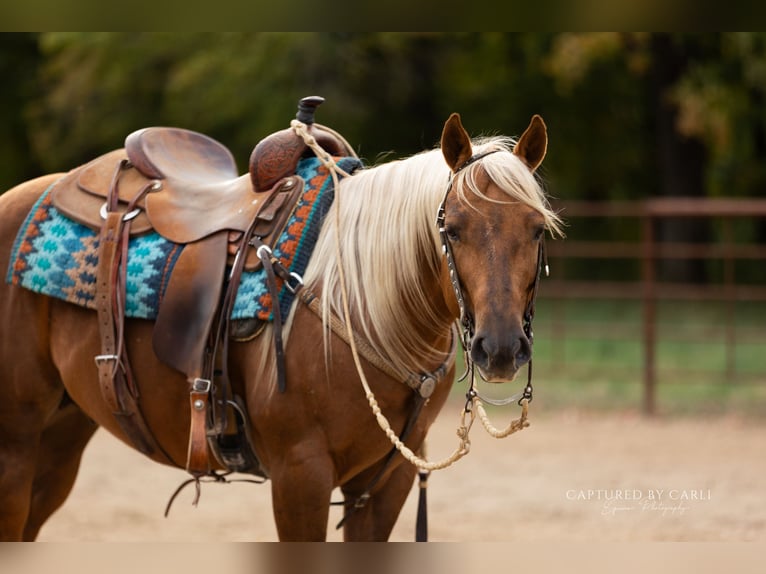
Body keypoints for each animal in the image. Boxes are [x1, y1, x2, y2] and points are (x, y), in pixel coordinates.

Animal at [0, 110, 562, 541]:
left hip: (62, 435)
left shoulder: (387, 480)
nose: (500, 348)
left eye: (537, 230)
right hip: (17, 444)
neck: (361, 306)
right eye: (452, 229)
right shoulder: (300, 477)